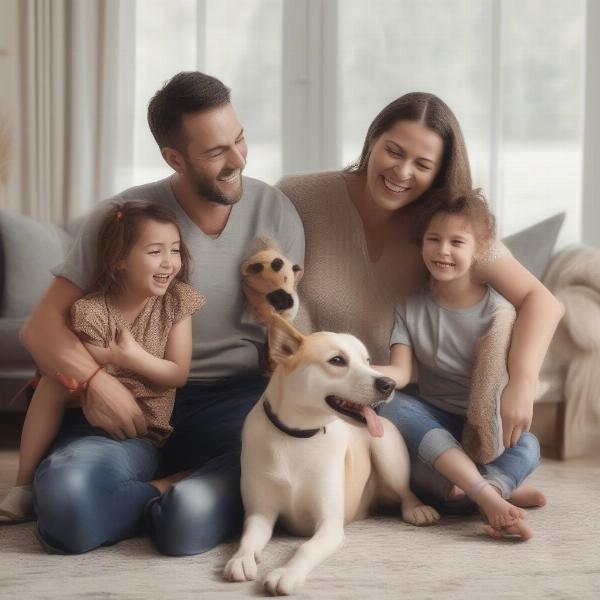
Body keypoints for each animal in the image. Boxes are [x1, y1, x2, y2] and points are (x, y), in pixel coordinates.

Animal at [223, 314, 438, 596]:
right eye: (337, 360)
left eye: (367, 360)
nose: (388, 384)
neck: (298, 436)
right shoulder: (260, 513)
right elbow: (249, 537)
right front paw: (242, 557)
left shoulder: (329, 525)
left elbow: (306, 548)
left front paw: (286, 573)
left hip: (387, 453)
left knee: (405, 491)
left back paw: (417, 510)